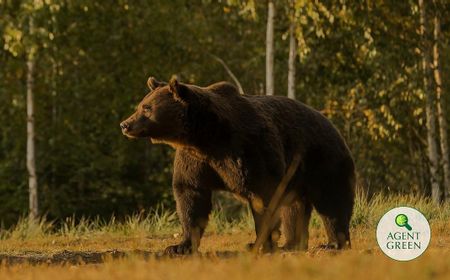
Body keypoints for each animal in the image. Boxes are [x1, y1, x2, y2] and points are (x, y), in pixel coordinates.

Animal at [119, 76, 356, 254]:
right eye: (140, 105)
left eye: (147, 108)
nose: (125, 124)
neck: (206, 137)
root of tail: (330, 123)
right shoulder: (195, 160)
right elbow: (190, 195)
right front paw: (179, 246)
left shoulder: (249, 149)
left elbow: (264, 195)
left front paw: (259, 243)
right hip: (296, 175)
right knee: (294, 207)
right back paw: (292, 244)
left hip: (323, 159)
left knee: (332, 200)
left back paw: (334, 243)